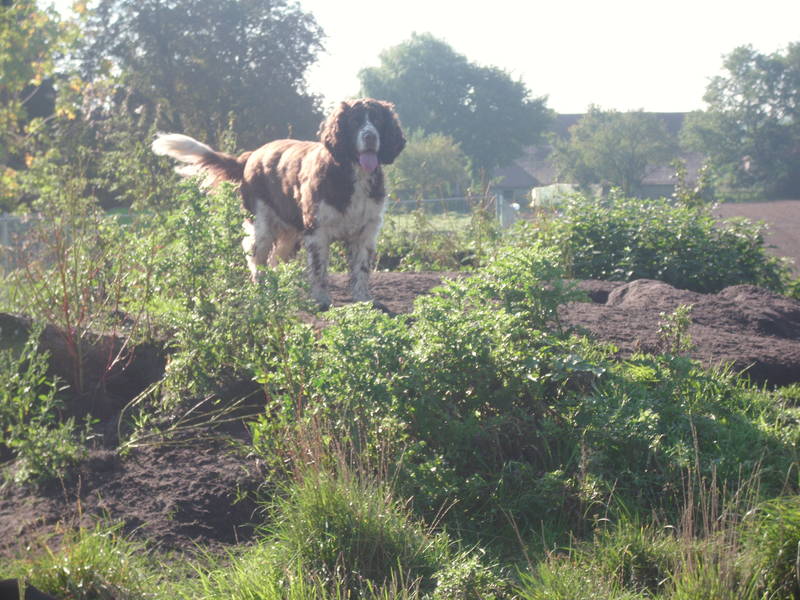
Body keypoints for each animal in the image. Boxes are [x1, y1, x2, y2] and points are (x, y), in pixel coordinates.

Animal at [152, 98, 405, 308]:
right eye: (354, 121)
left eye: (378, 120)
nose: (370, 136)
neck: (352, 174)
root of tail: (250, 156)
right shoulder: (317, 231)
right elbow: (319, 270)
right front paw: (321, 299)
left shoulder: (366, 232)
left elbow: (361, 270)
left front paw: (364, 299)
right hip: (262, 226)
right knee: (256, 259)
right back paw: (262, 290)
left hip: (290, 234)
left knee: (275, 259)